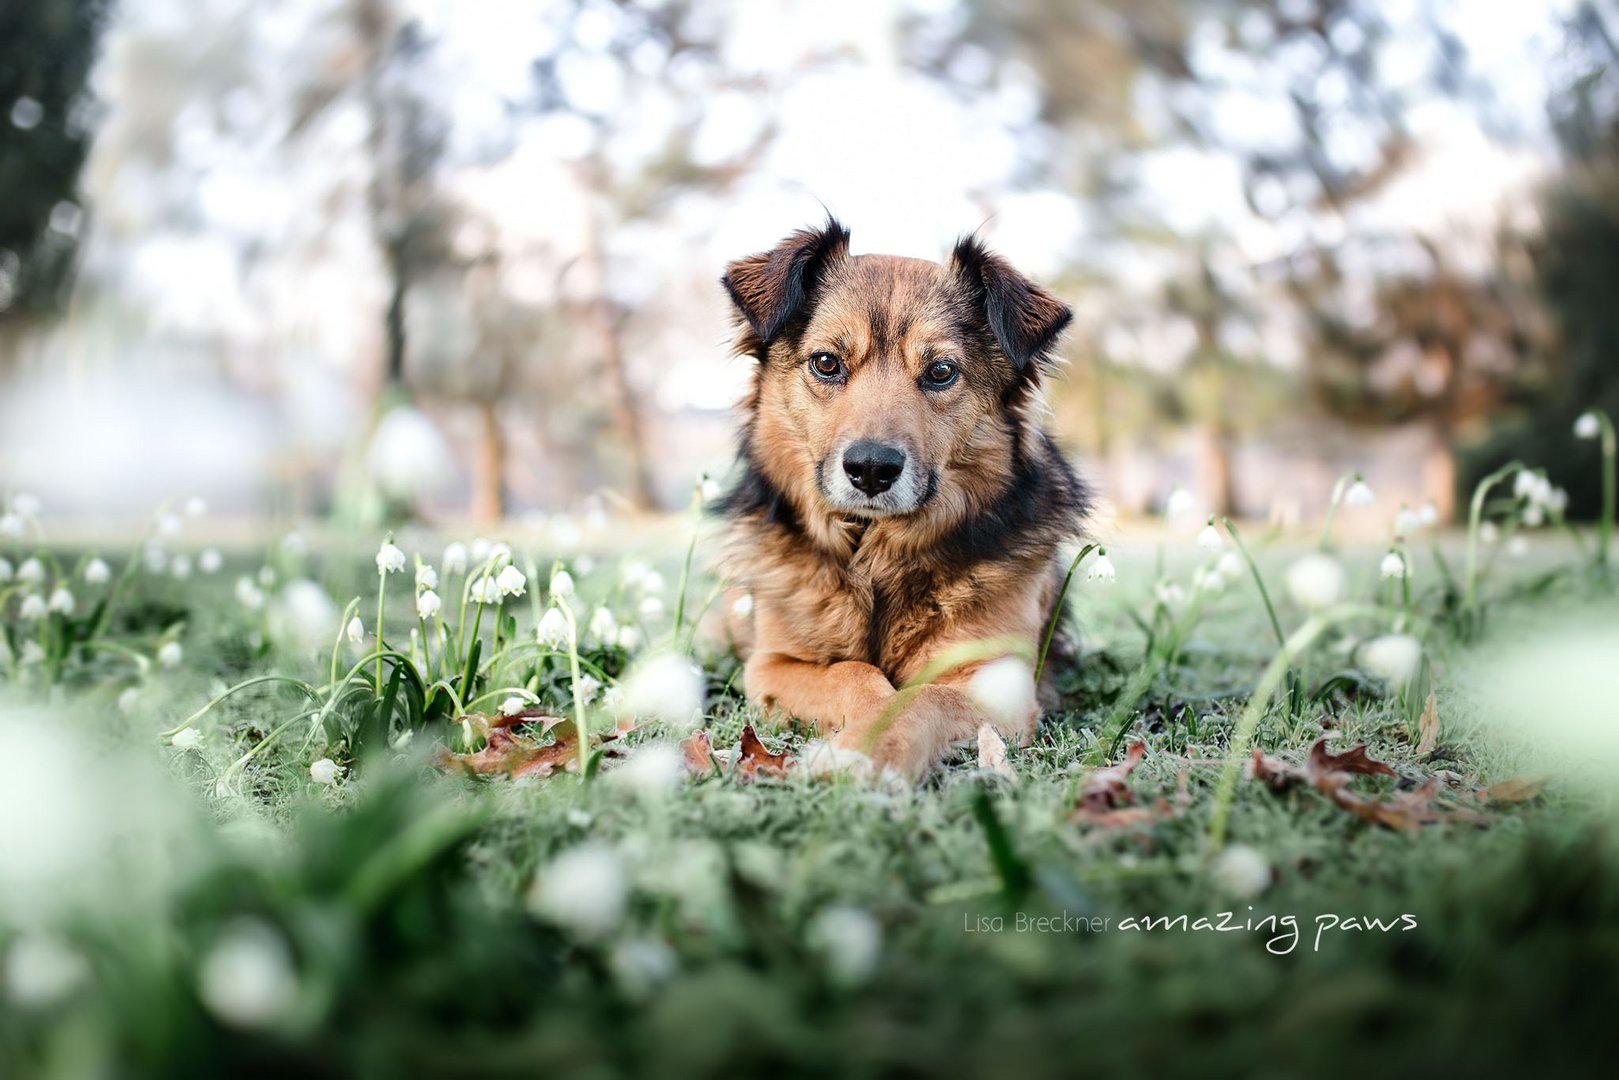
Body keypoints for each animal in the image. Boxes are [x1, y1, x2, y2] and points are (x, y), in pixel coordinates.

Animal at [718, 220, 1087, 777]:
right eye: (826, 362)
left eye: (940, 371)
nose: (871, 469)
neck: (874, 557)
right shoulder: (774, 664)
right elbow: (853, 672)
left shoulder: (993, 678)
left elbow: (917, 700)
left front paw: (865, 752)